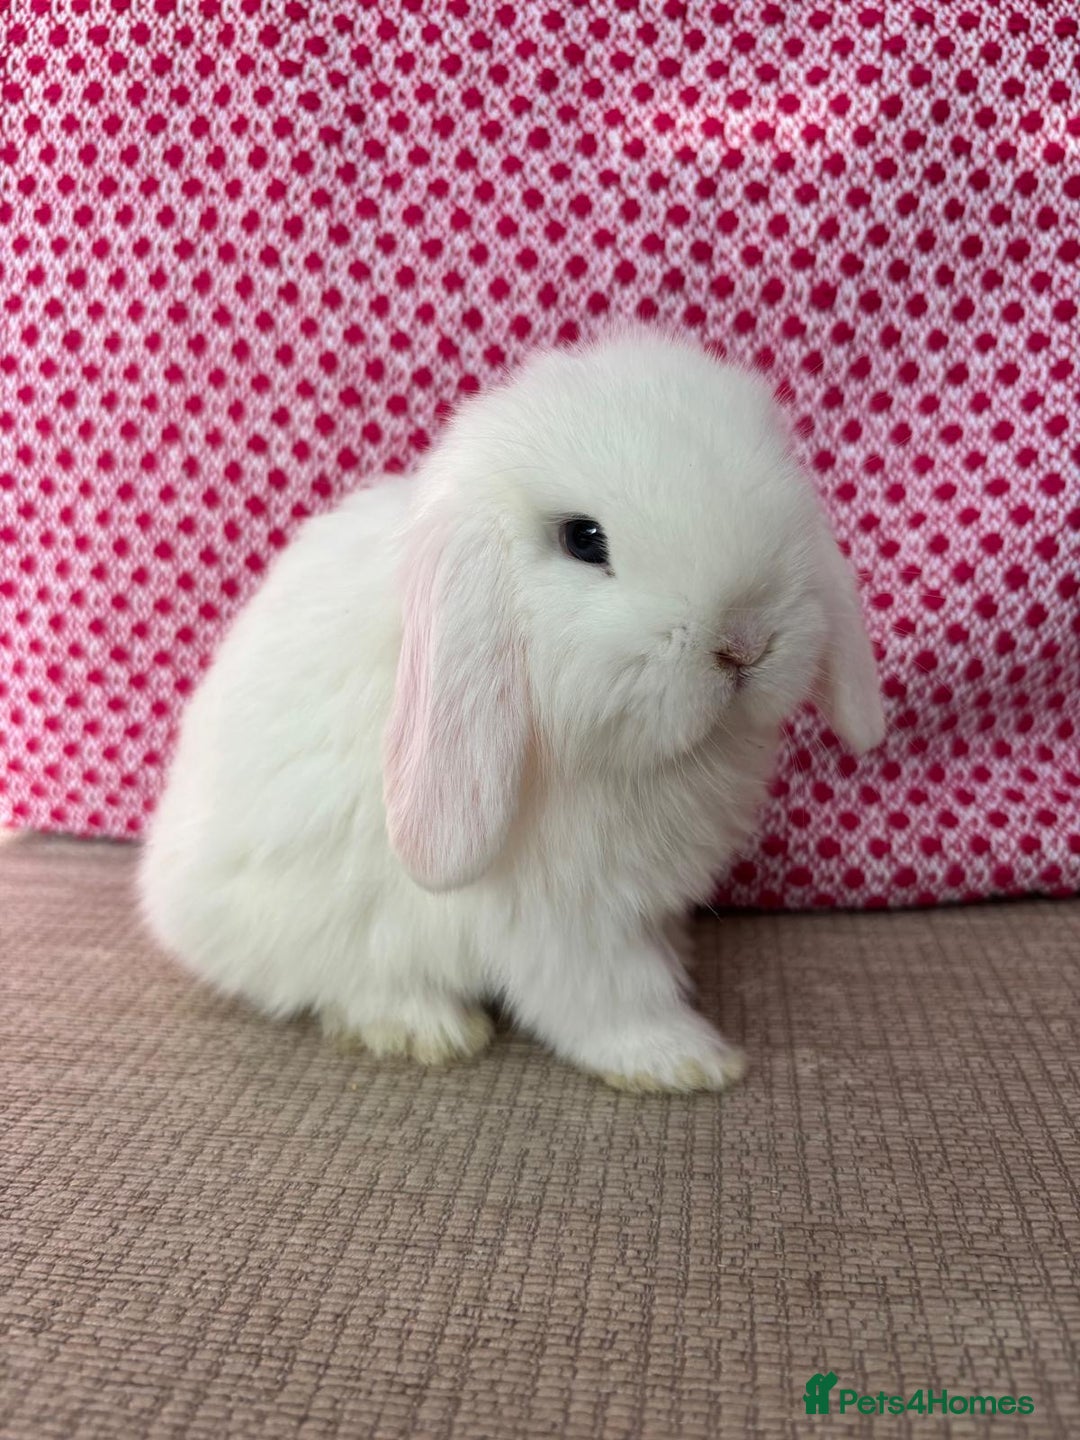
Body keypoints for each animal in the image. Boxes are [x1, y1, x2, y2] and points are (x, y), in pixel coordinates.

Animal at [139, 324, 885, 1093]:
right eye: (584, 538)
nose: (744, 643)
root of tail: (169, 897)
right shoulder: (564, 916)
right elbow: (607, 996)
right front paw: (684, 1060)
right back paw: (424, 1027)